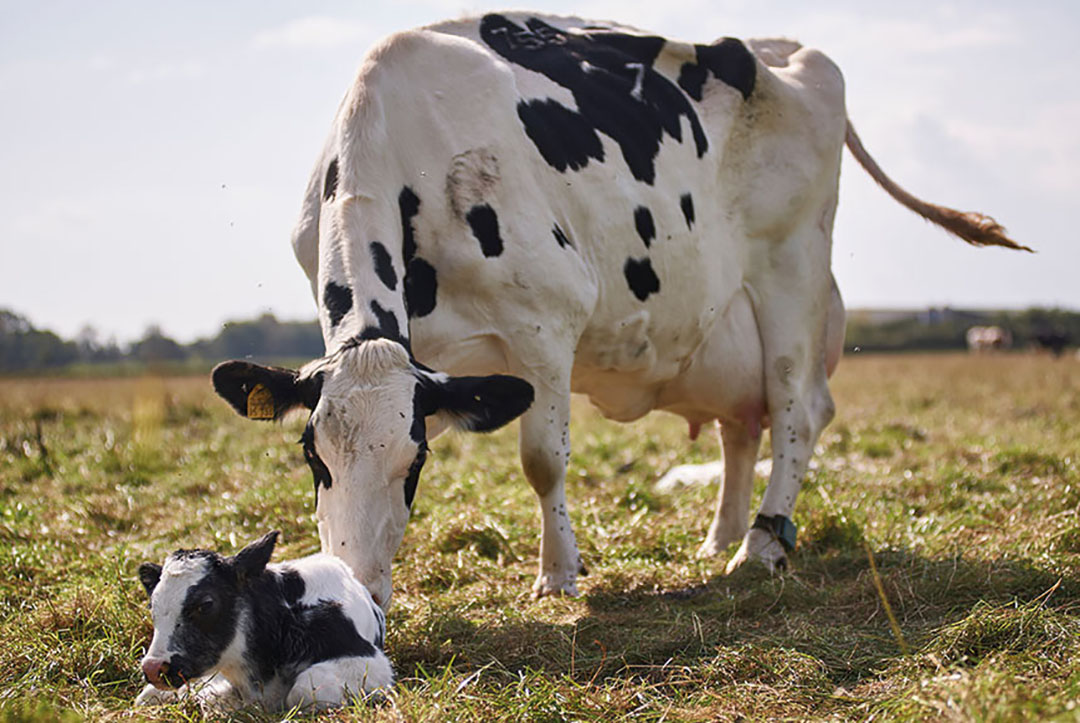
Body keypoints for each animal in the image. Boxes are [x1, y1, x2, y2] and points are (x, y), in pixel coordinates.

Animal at [211, 13, 1028, 607]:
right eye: (312, 456)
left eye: (414, 462)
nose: (357, 588)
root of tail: (787, 48)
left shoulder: (544, 321)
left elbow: (542, 458)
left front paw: (557, 576)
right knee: (745, 421)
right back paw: (720, 533)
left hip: (791, 268)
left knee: (798, 407)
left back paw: (760, 545)